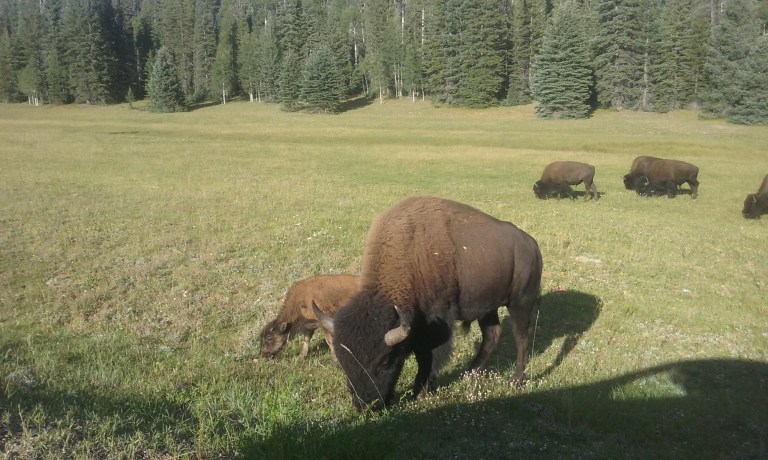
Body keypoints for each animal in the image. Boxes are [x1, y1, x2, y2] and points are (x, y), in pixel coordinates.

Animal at [316, 196, 542, 410]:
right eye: (343, 364)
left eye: (384, 362)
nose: (365, 405)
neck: (409, 255)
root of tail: (532, 245)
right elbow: (422, 354)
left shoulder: (437, 323)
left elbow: (429, 356)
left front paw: (421, 391)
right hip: (488, 306)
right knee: (492, 334)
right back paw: (469, 372)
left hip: (520, 302)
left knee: (521, 337)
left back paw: (516, 380)